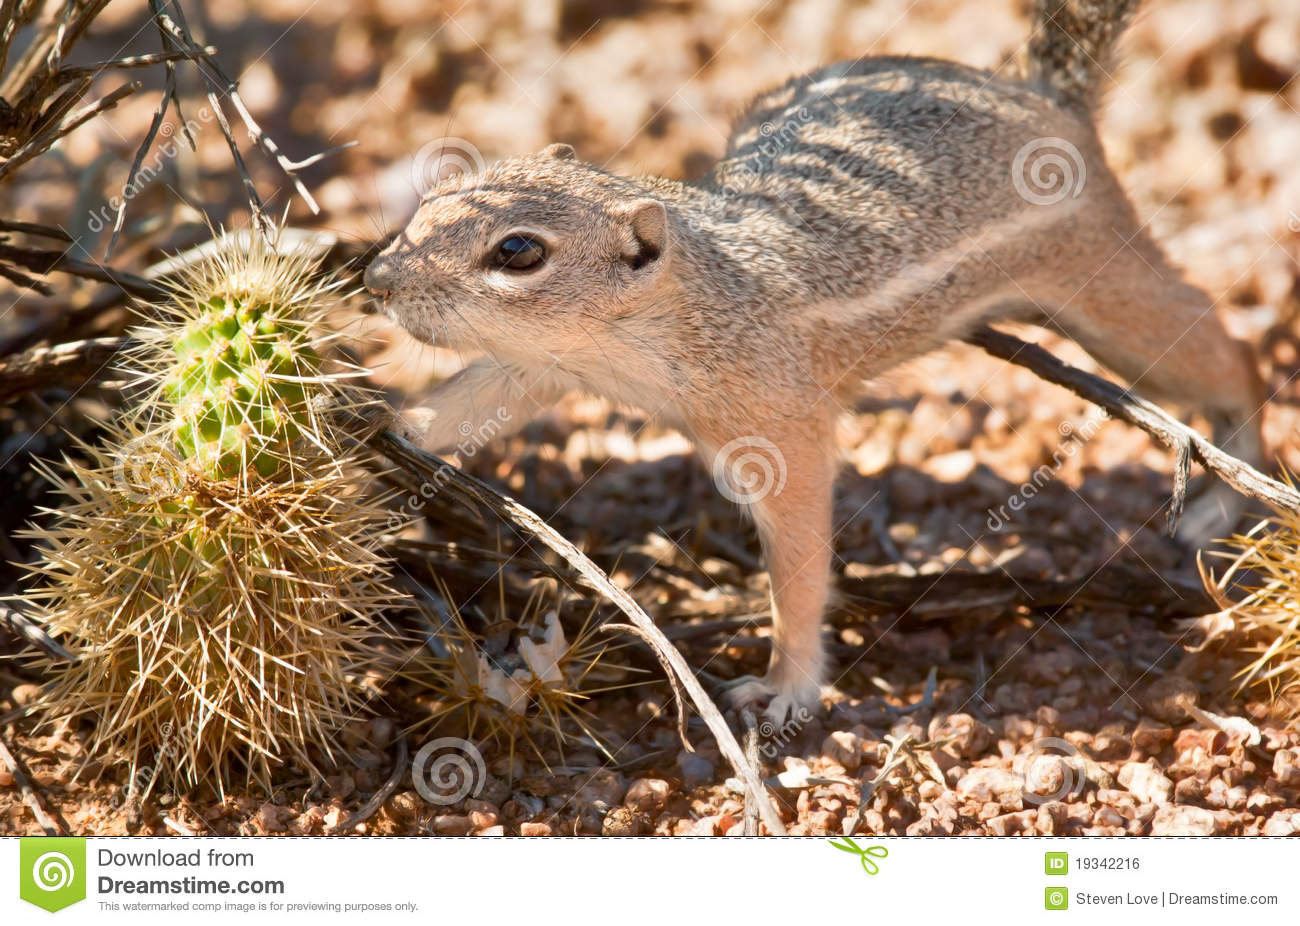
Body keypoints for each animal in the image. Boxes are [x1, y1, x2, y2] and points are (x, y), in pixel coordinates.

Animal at [366, 0, 1268, 723]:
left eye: (517, 252)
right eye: (436, 199)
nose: (376, 279)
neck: (685, 305)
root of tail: (1043, 89)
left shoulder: (780, 429)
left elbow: (798, 565)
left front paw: (787, 685)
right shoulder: (539, 364)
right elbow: (460, 405)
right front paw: (375, 423)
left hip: (1101, 281)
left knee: (1215, 344)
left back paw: (1233, 484)